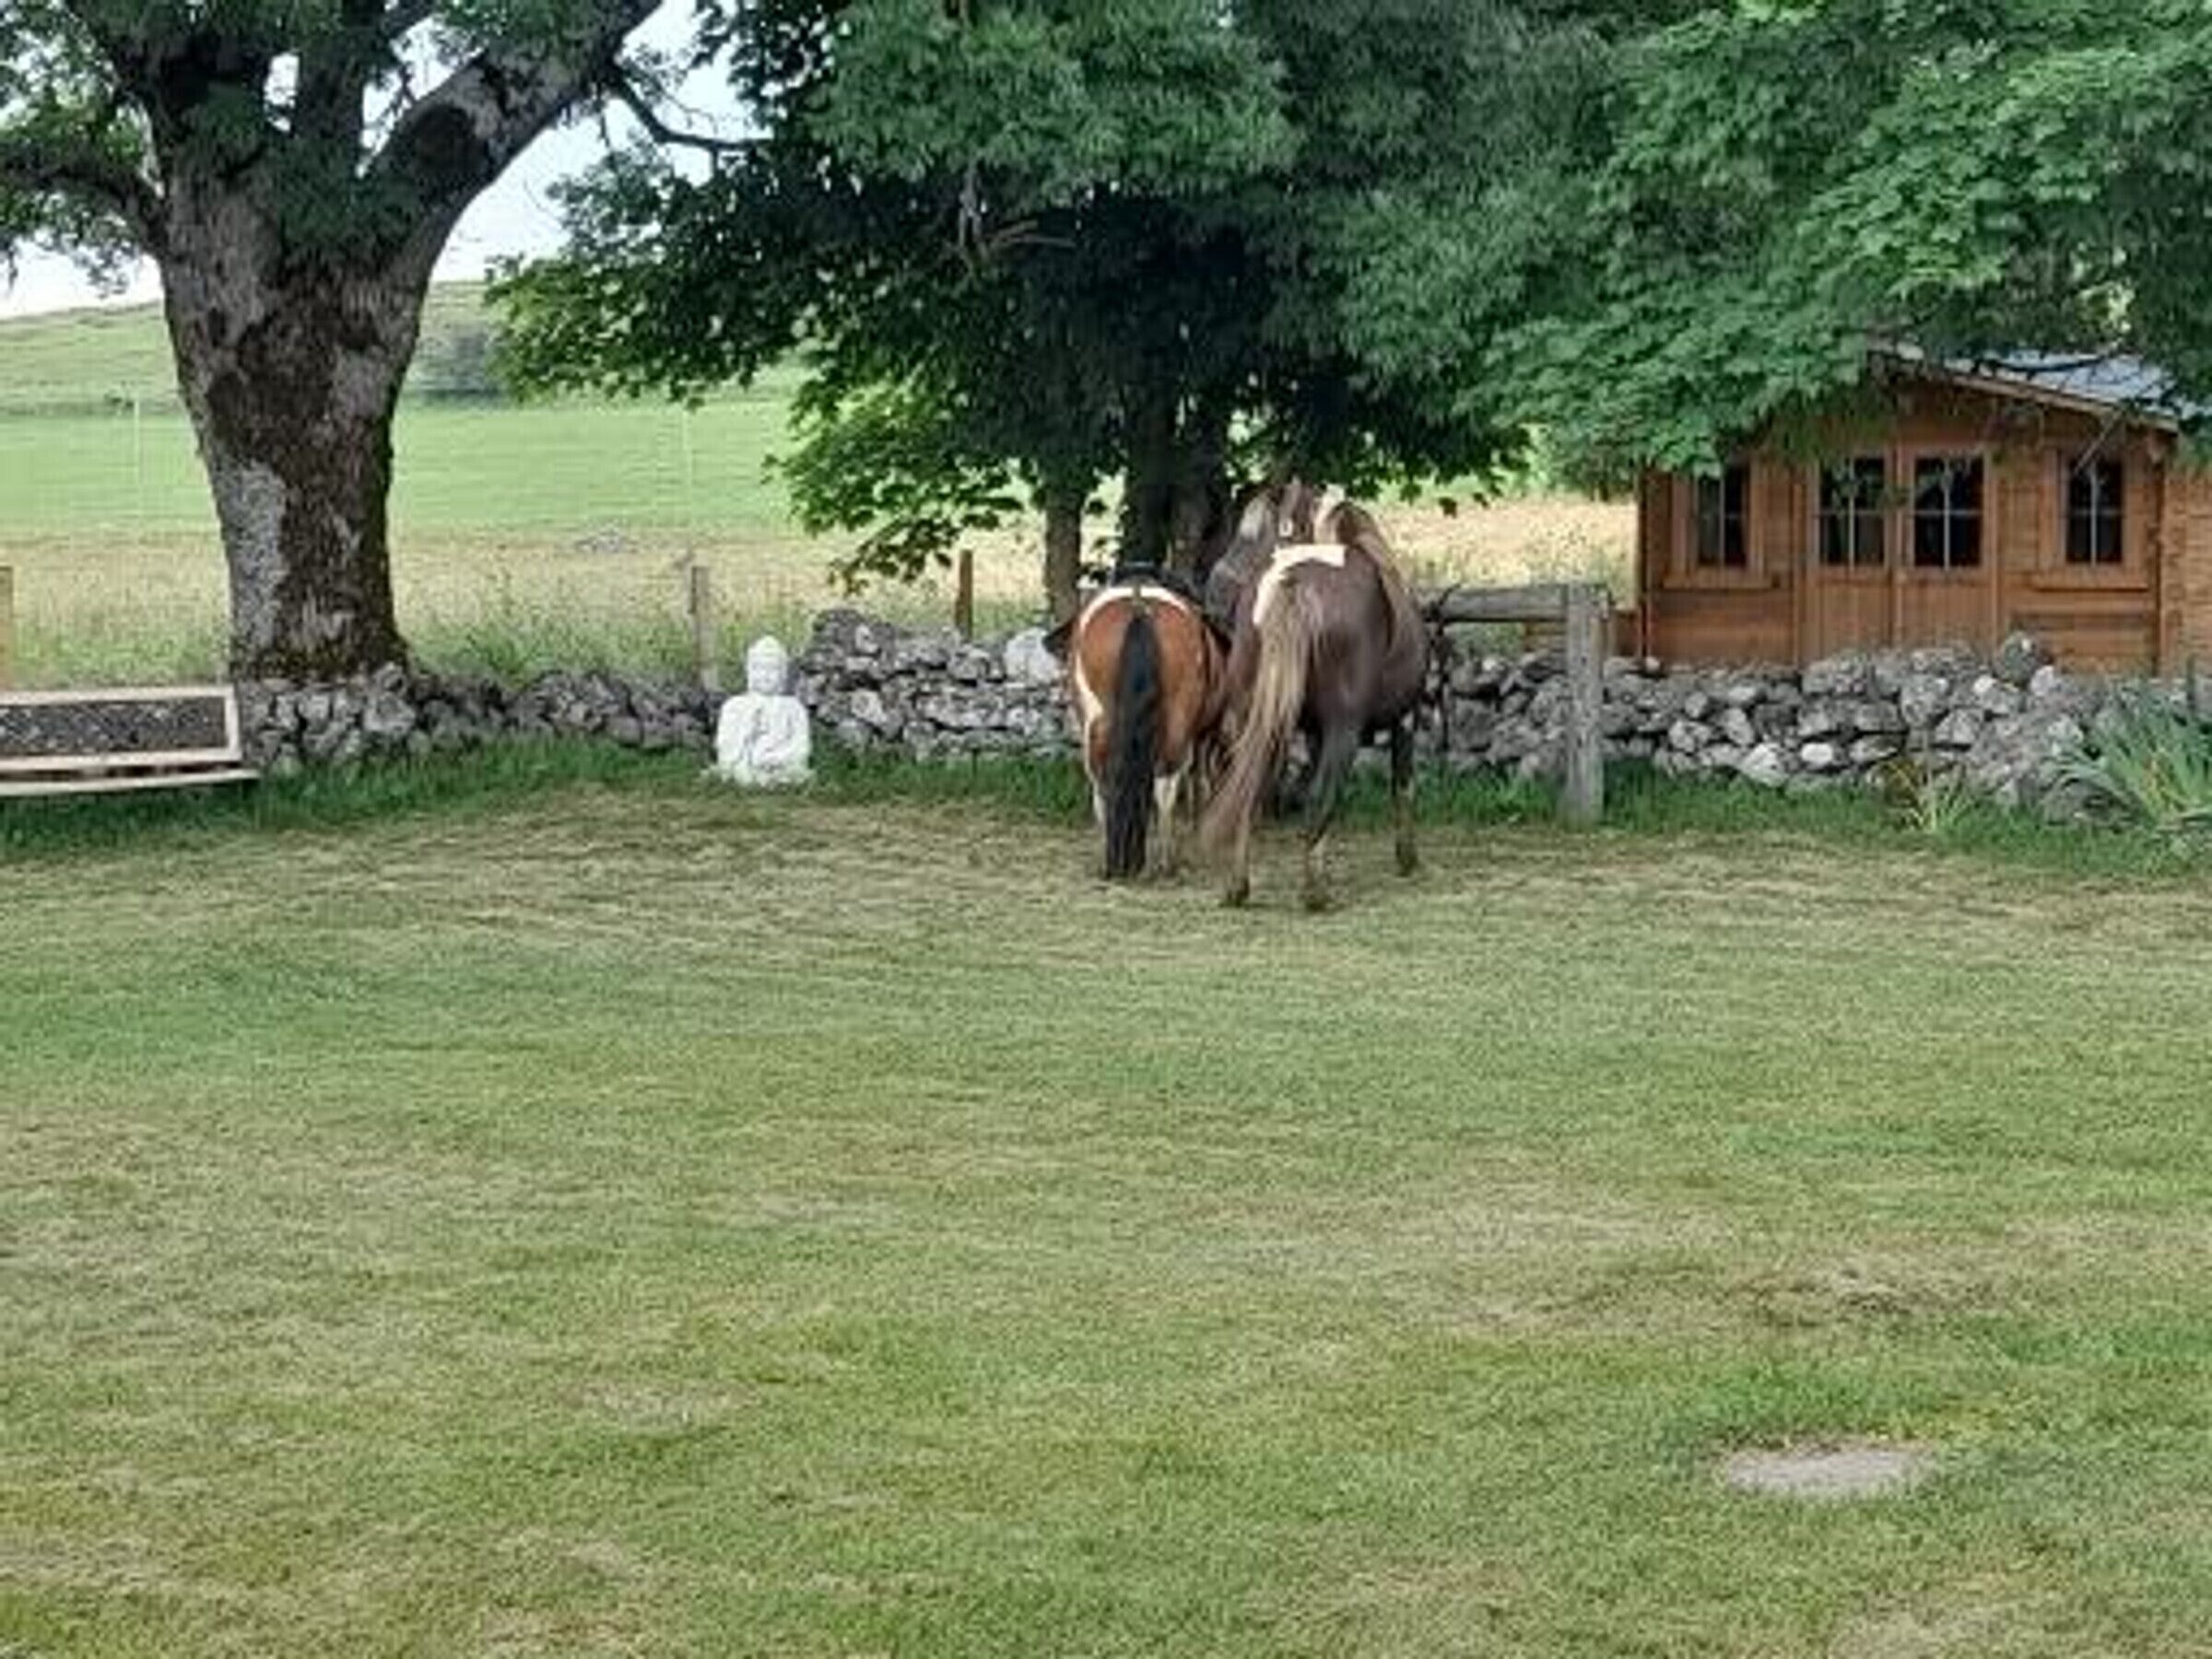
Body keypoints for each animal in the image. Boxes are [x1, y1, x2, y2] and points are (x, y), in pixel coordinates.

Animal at [1058, 570, 1229, 881]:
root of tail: (1138, 607)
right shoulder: (1203, 736)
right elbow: (1198, 780)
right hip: (1177, 722)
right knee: (1165, 785)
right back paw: (1164, 861)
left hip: (1098, 723)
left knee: (1103, 780)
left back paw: (1109, 857)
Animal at [1201, 495, 1427, 910]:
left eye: (1253, 534)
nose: (1213, 598)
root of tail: (1293, 580)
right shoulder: (1405, 718)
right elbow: (1402, 786)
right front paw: (1407, 858)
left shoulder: (1313, 733)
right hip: (1344, 729)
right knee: (1322, 795)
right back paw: (1315, 894)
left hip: (1252, 720)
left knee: (1247, 793)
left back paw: (1238, 887)